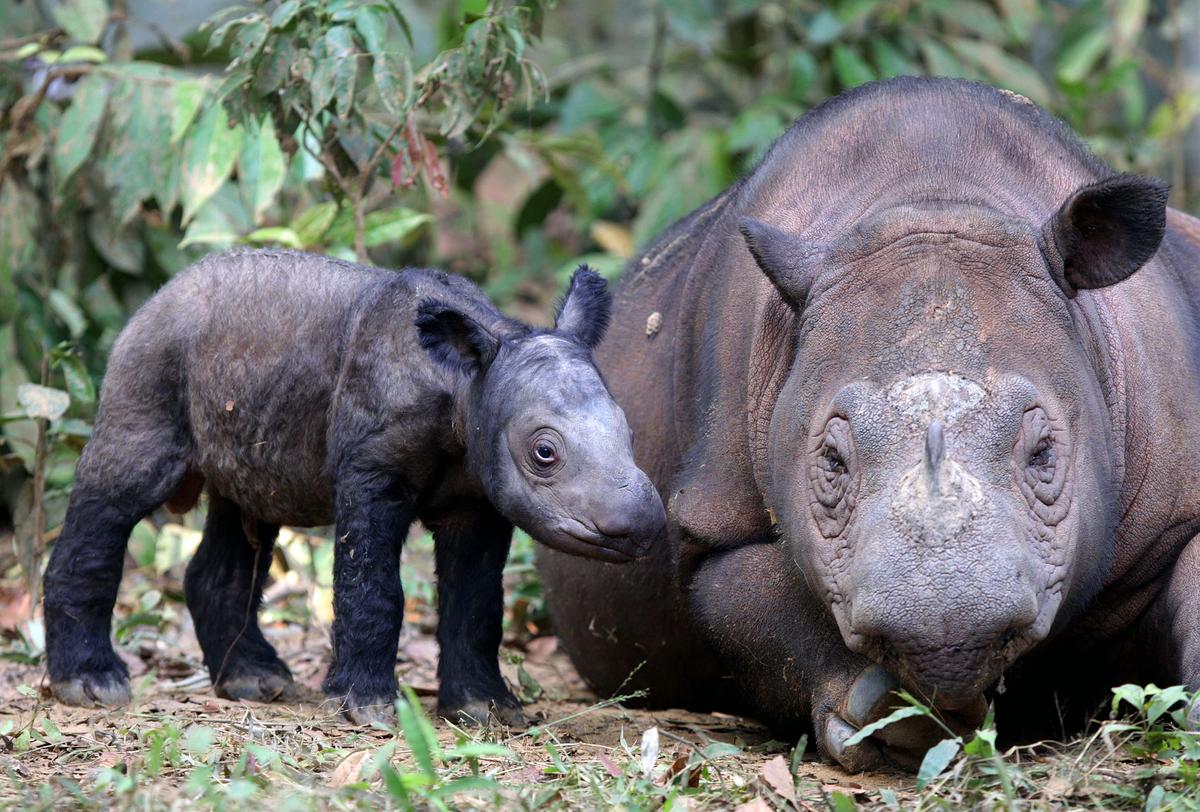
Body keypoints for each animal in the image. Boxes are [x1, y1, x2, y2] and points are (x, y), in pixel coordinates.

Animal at [538, 77, 1200, 770]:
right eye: (832, 463)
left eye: (1044, 453)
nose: (946, 634)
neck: (934, 193)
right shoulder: (711, 522)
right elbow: (750, 599)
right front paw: (894, 718)